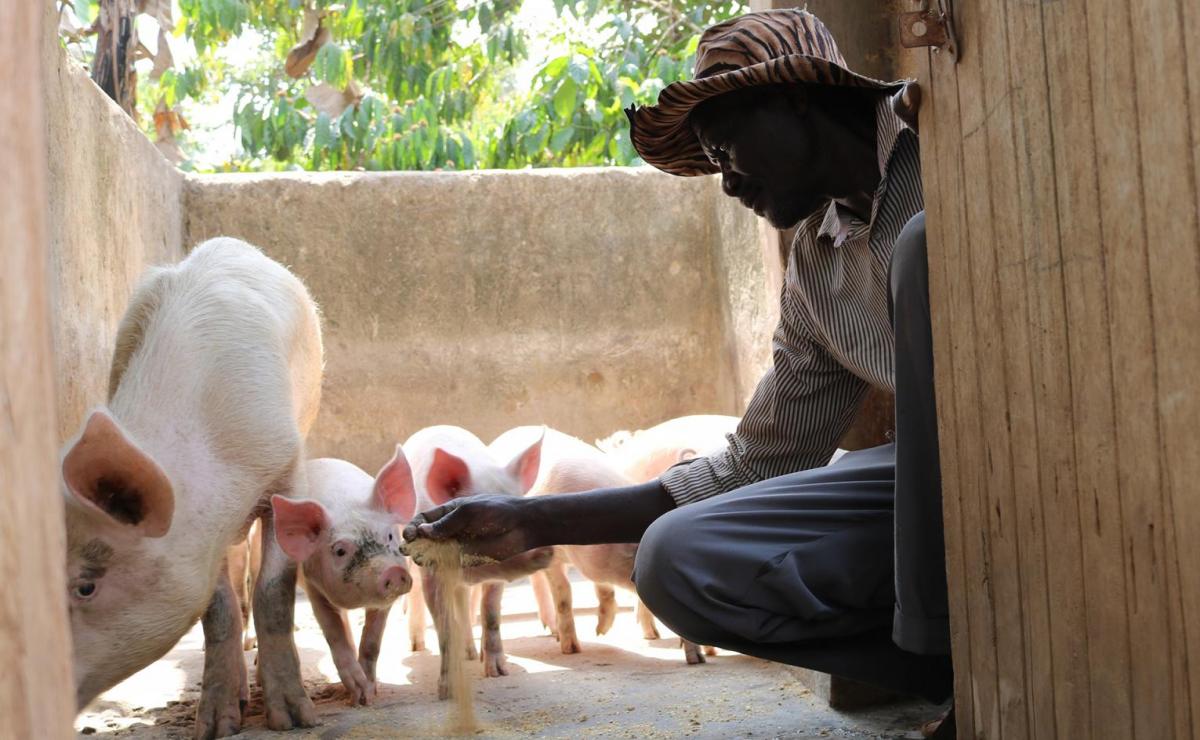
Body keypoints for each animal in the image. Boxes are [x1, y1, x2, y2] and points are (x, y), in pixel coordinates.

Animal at [59, 239, 324, 734]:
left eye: (85, 587)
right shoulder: (204, 538)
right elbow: (216, 608)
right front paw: (217, 728)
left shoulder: (288, 471)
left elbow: (275, 592)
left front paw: (294, 720)